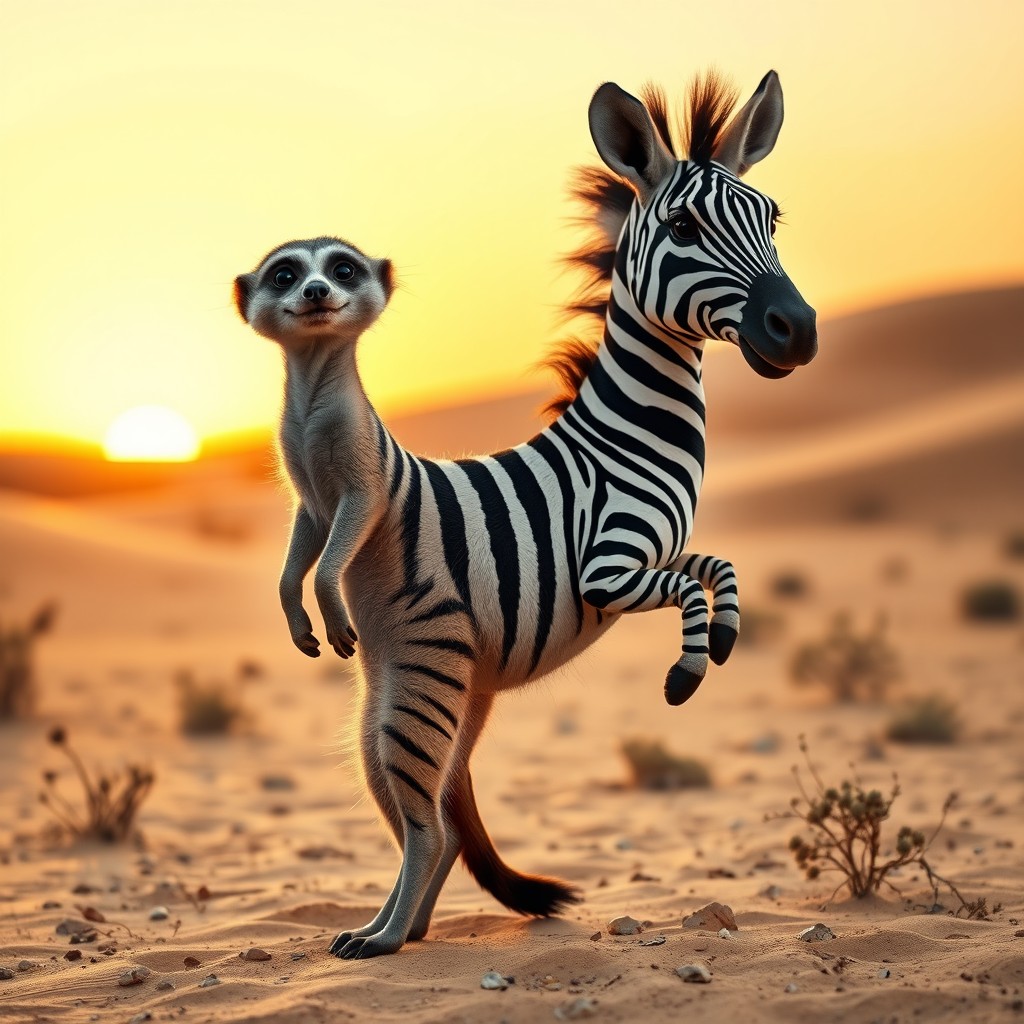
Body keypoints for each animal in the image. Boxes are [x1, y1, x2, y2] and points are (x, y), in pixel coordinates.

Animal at [233, 70, 817, 959]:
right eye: (682, 225)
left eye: (773, 217)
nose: (798, 331)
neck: (622, 441)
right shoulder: (607, 571)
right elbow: (695, 580)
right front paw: (688, 668)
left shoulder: (647, 559)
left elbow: (716, 564)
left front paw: (721, 638)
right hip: (420, 685)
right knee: (427, 824)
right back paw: (384, 935)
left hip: (410, 693)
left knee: (430, 820)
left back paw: (401, 928)